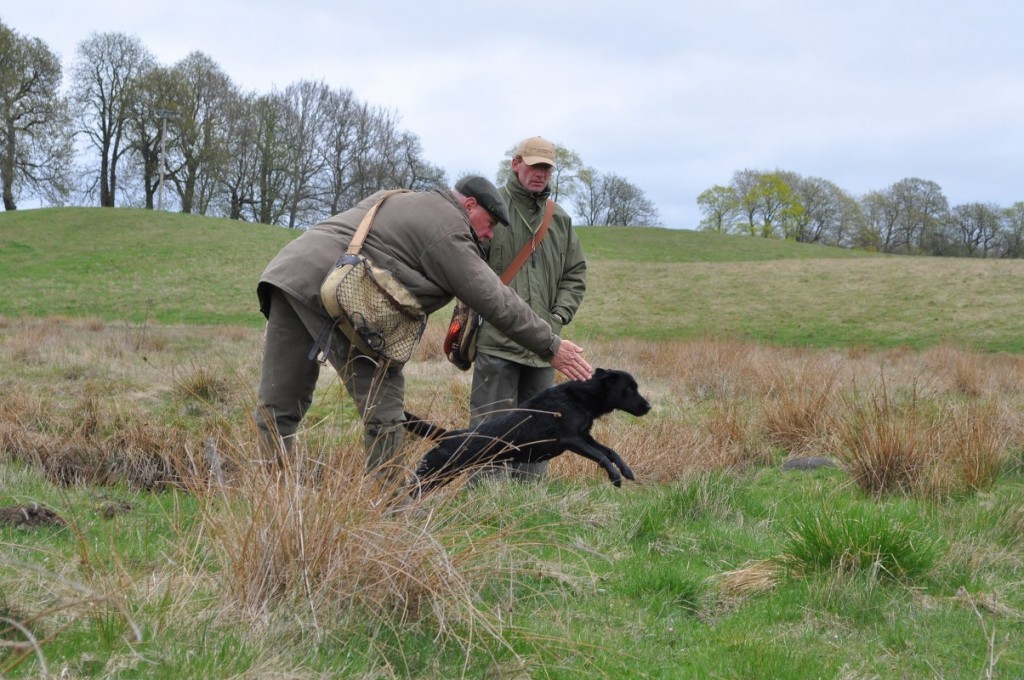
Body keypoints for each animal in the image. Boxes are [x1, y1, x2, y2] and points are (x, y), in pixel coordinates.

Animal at [403, 366, 651, 493]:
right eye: (629, 389)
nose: (648, 406)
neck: (581, 398)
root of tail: (449, 435)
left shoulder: (585, 436)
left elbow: (610, 452)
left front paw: (626, 471)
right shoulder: (571, 439)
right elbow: (601, 456)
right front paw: (614, 477)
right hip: (432, 474)